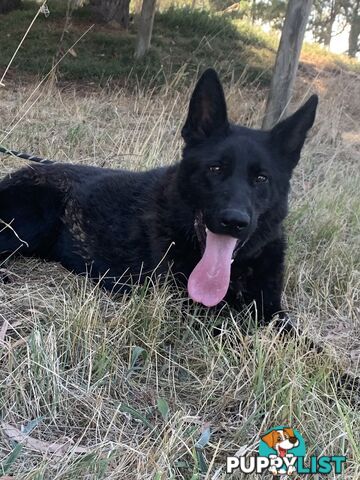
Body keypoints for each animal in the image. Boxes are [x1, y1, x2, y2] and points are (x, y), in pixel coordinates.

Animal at [0, 68, 318, 322]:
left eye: (261, 178)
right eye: (215, 169)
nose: (234, 222)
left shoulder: (271, 310)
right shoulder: (185, 305)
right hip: (35, 216)